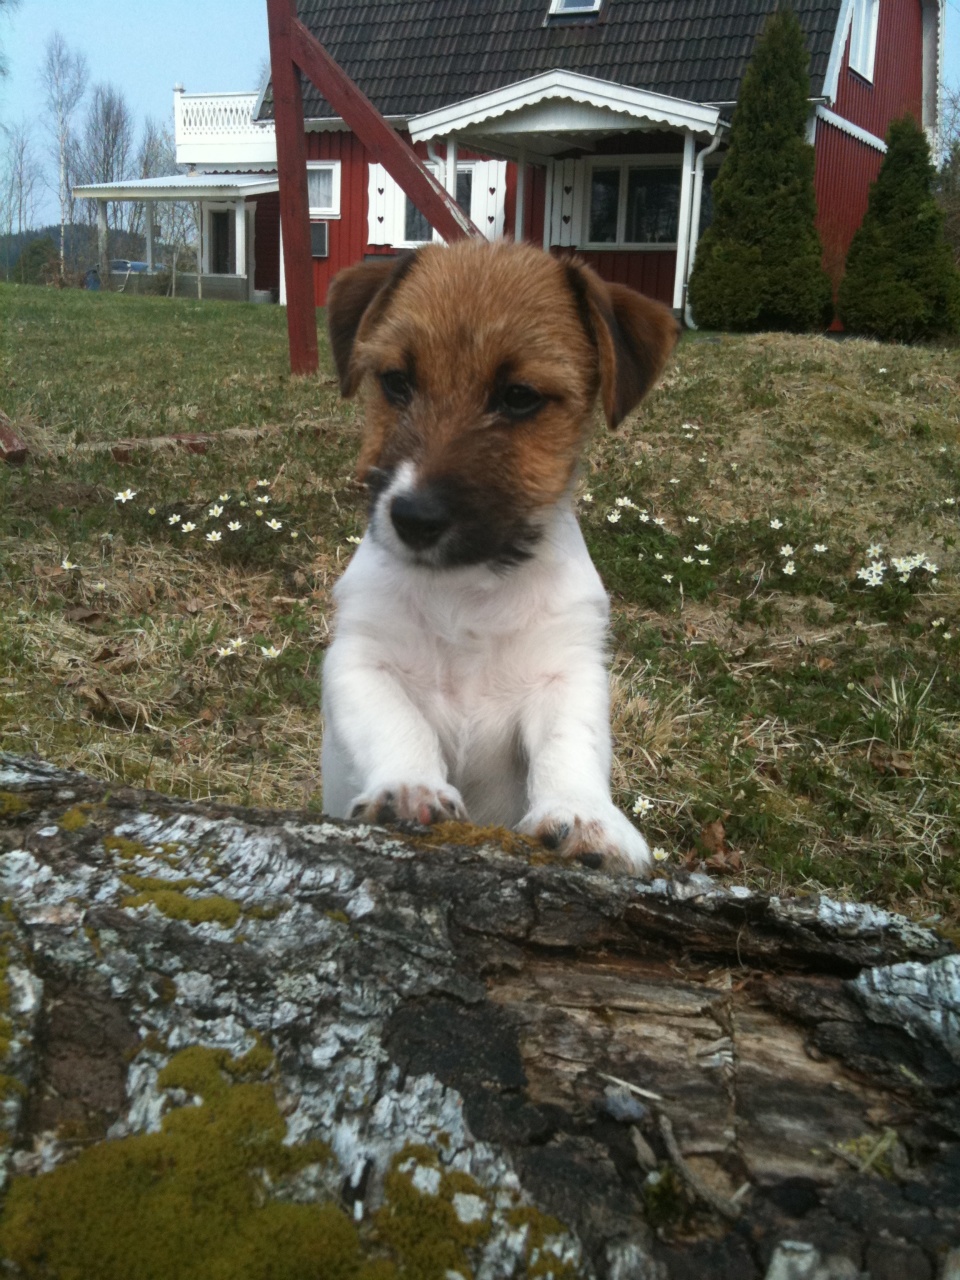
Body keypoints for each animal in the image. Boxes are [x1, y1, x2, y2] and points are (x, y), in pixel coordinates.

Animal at [321, 239, 678, 874]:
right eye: (396, 383)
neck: (468, 590)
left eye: (519, 398)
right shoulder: (359, 661)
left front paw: (586, 818)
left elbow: (570, 748)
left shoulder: (567, 674)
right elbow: (398, 724)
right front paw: (408, 790)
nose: (414, 518)